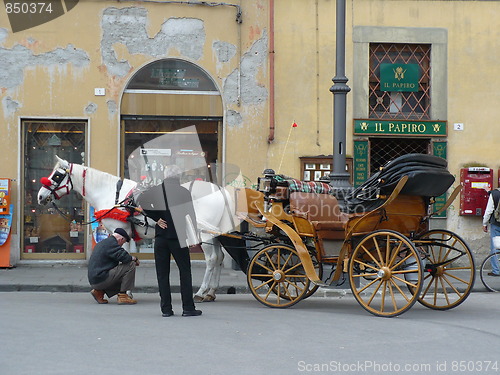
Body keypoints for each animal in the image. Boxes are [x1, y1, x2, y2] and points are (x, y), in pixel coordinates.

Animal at [36, 156, 236, 302]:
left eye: (56, 176)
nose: (40, 196)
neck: (112, 195)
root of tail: (219, 190)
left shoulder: (120, 230)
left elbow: (123, 258)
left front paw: (125, 292)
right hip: (214, 234)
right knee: (219, 258)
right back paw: (211, 292)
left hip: (204, 234)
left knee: (212, 259)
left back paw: (201, 292)